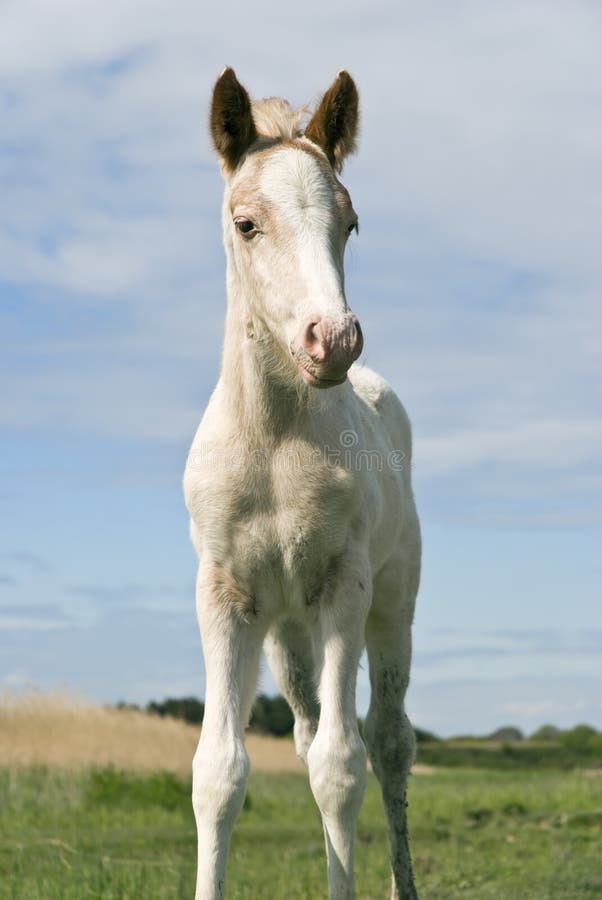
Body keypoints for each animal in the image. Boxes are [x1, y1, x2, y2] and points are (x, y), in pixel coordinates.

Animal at [183, 68, 422, 900]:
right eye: (246, 223)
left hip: (389, 605)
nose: (334, 340)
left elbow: (343, 768)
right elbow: (219, 772)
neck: (273, 444)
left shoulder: (344, 584)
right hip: (289, 634)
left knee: (385, 742)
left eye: (349, 223)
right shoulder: (225, 593)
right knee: (311, 728)